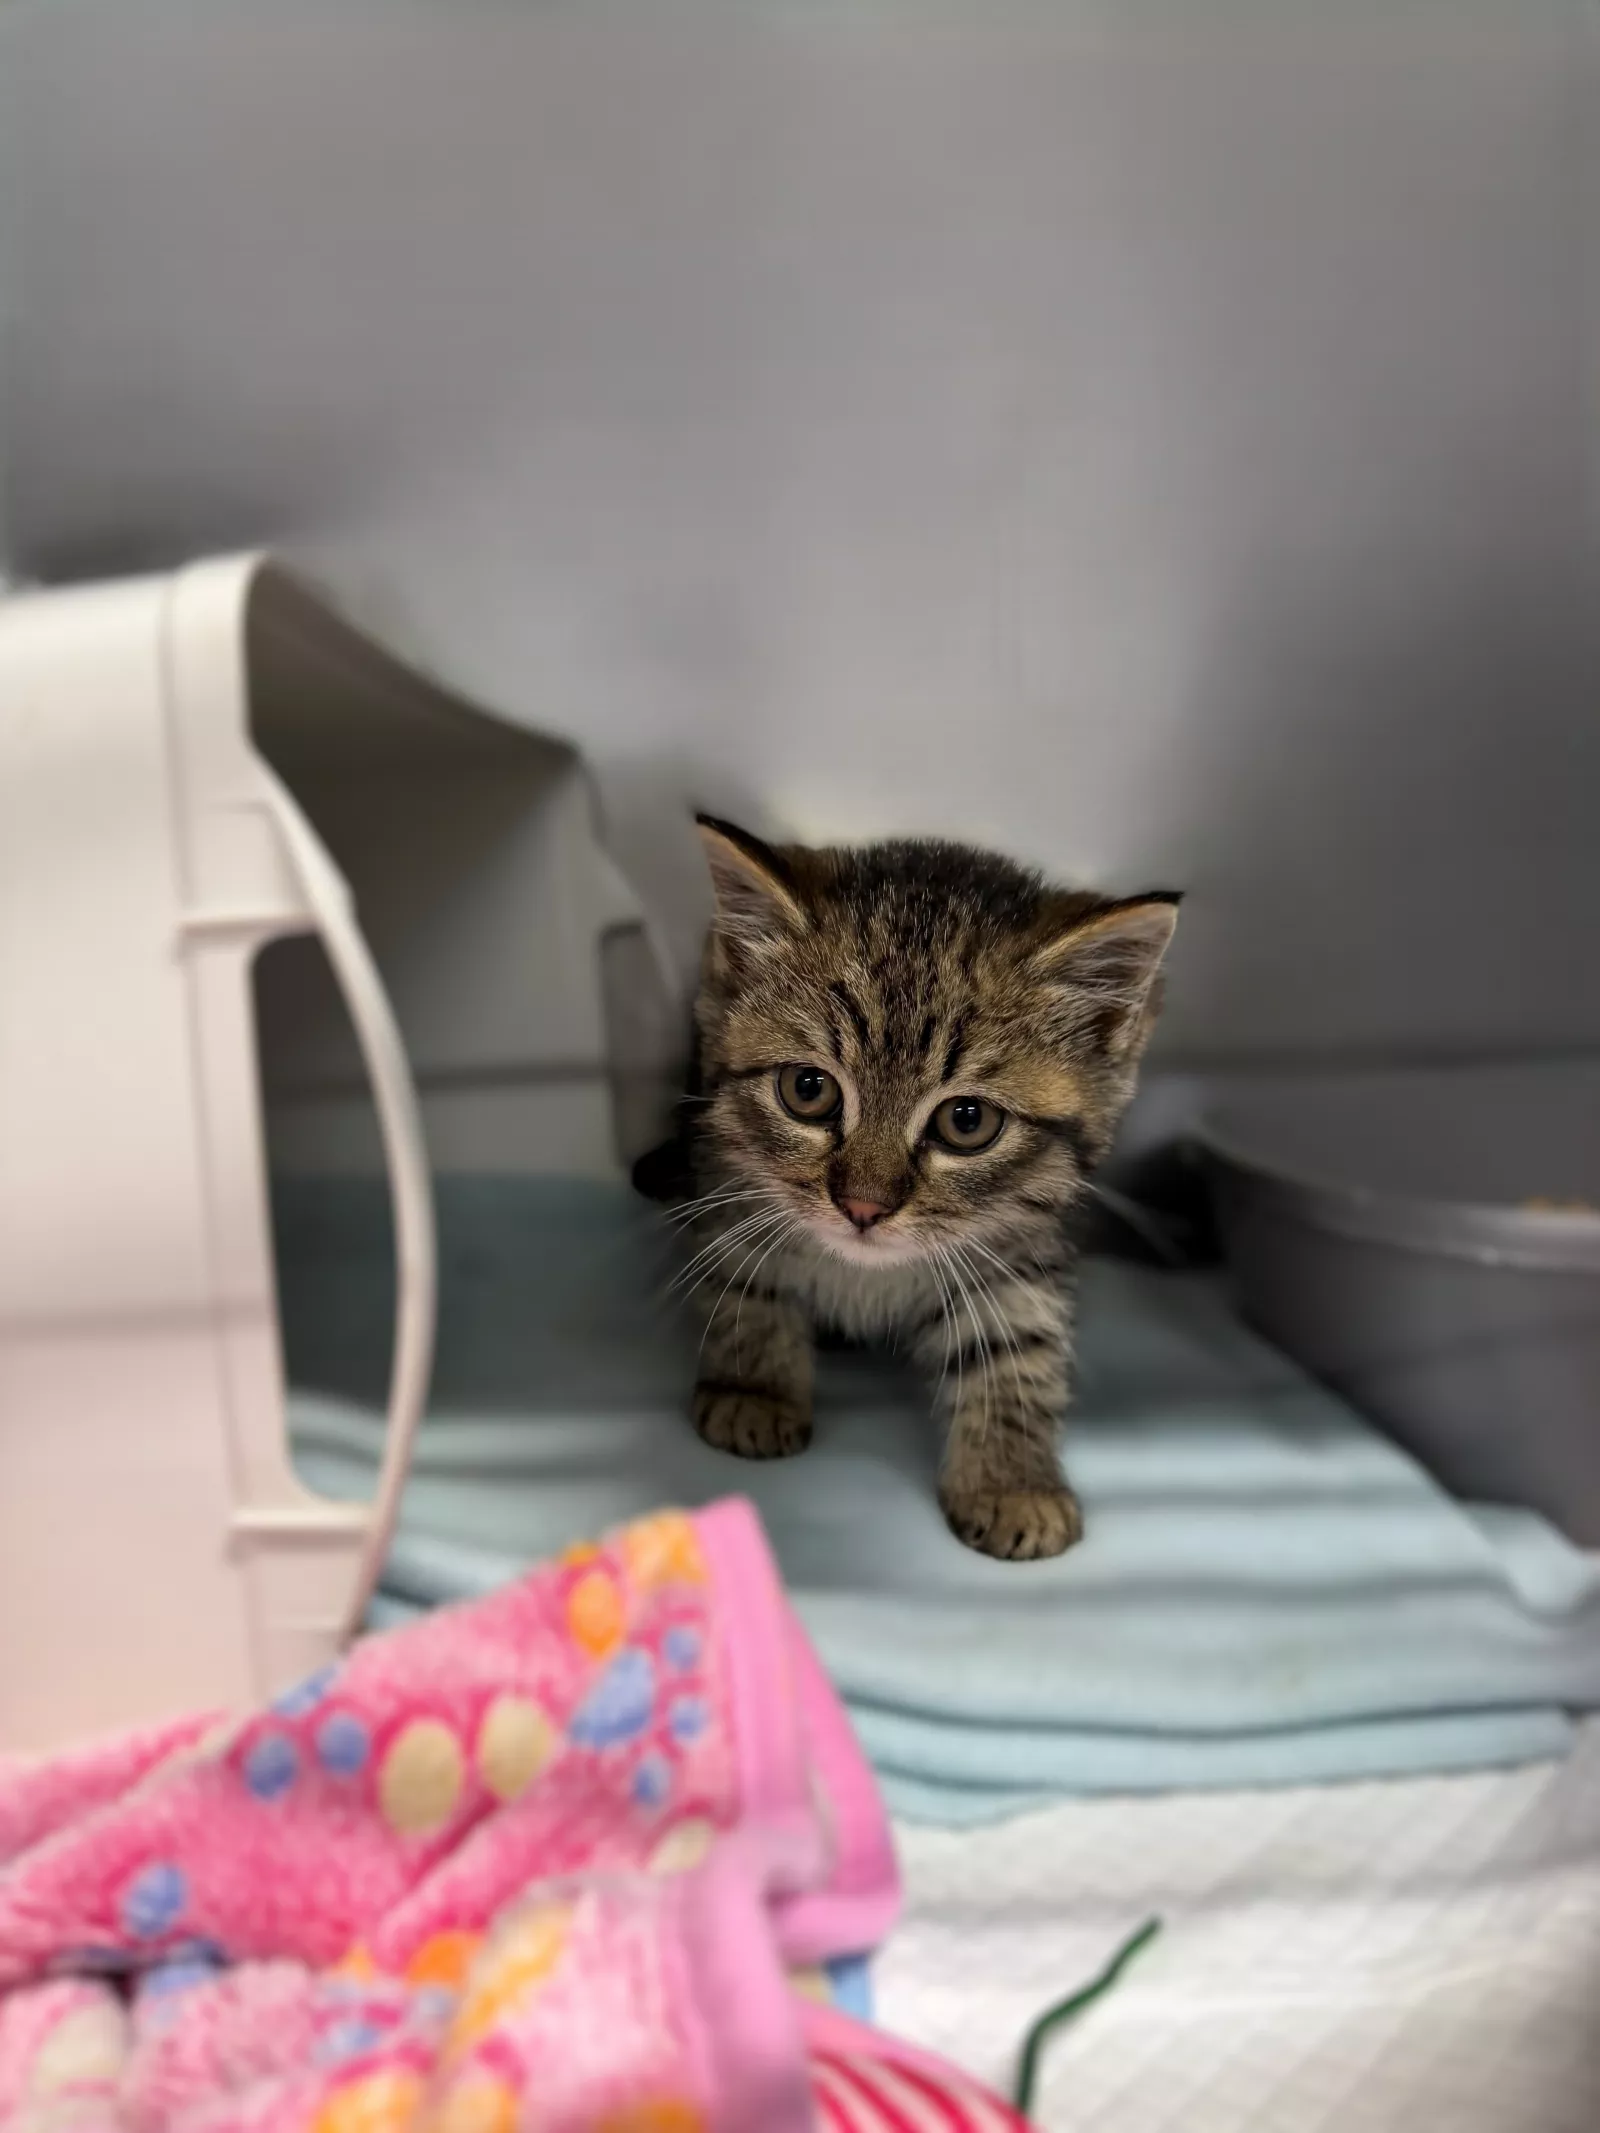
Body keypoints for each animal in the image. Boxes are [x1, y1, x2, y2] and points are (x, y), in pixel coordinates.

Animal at [637, 815, 1180, 1560]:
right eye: (807, 1089)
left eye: (967, 1121)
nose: (863, 1206)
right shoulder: (731, 1187)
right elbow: (750, 1286)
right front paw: (756, 1389)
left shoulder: (1017, 1247)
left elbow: (1017, 1346)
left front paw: (1012, 1481)